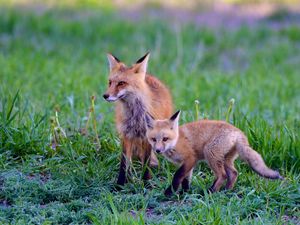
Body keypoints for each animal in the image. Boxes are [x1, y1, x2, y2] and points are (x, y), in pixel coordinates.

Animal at [103, 52, 172, 186]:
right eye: (110, 82)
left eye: (121, 83)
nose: (105, 95)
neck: (136, 116)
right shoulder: (127, 134)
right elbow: (124, 163)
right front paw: (120, 184)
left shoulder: (148, 136)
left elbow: (146, 162)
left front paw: (146, 183)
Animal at [144, 111, 282, 196]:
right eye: (153, 139)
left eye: (165, 139)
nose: (158, 150)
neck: (176, 141)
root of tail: (238, 132)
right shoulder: (187, 163)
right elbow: (186, 179)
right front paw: (185, 193)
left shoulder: (190, 158)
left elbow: (178, 176)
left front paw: (170, 192)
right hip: (225, 159)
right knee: (233, 173)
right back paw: (226, 190)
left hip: (210, 153)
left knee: (222, 175)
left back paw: (211, 192)